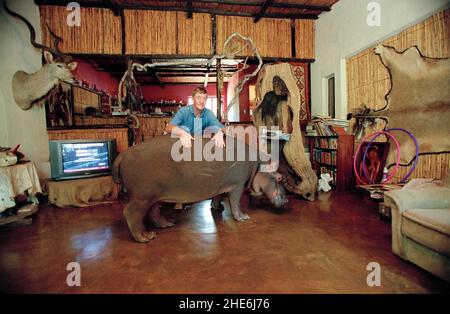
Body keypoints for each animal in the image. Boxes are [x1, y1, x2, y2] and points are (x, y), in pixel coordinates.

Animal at [113, 135, 288, 243]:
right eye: (280, 177)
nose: (287, 200)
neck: (256, 165)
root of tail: (123, 154)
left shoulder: (221, 185)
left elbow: (218, 197)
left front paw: (217, 208)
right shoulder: (237, 185)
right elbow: (235, 202)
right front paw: (243, 217)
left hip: (154, 195)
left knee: (154, 211)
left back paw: (167, 224)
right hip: (142, 196)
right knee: (132, 213)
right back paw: (145, 237)